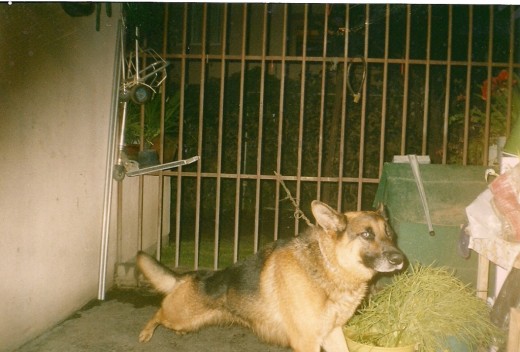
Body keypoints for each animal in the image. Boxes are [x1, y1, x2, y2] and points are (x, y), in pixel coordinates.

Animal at [138, 201, 406, 352]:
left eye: (390, 233)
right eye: (367, 235)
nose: (400, 259)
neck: (328, 266)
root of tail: (189, 277)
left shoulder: (332, 333)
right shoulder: (307, 341)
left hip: (188, 320)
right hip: (179, 316)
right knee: (158, 312)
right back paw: (145, 333)